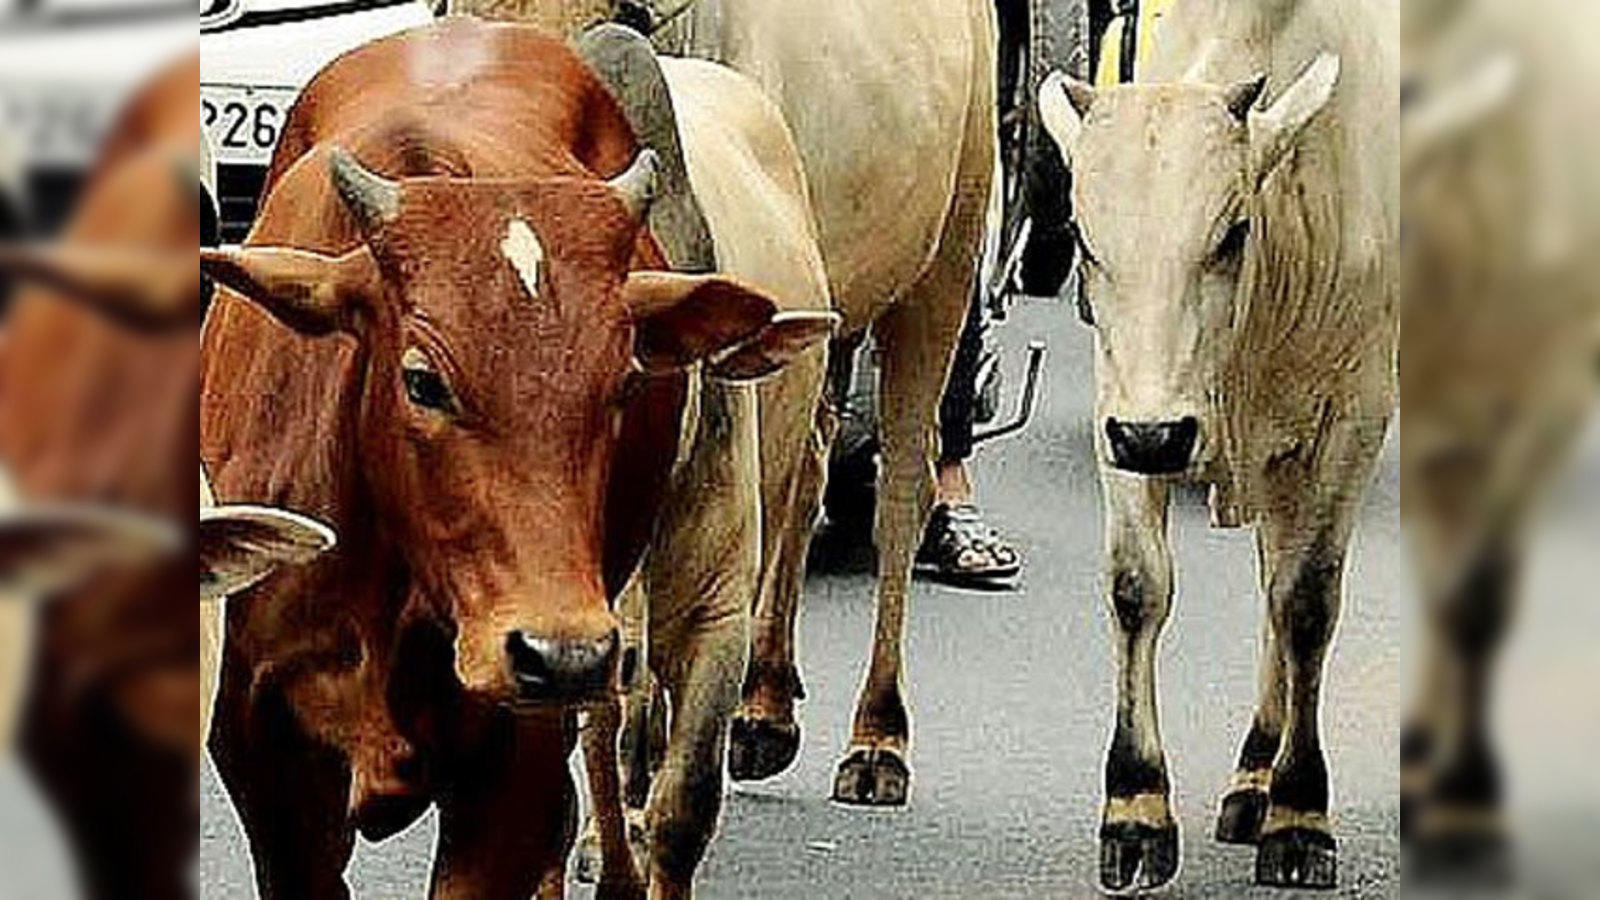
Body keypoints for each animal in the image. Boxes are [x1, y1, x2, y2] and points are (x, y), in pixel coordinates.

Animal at [1037, 0, 1397, 889]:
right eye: (1083, 236)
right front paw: (1136, 809)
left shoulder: (1355, 418)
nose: (1158, 434)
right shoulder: (1120, 412)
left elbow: (1307, 604)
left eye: (1233, 231)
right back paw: (1251, 776)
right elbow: (1139, 588)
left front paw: (1300, 814)